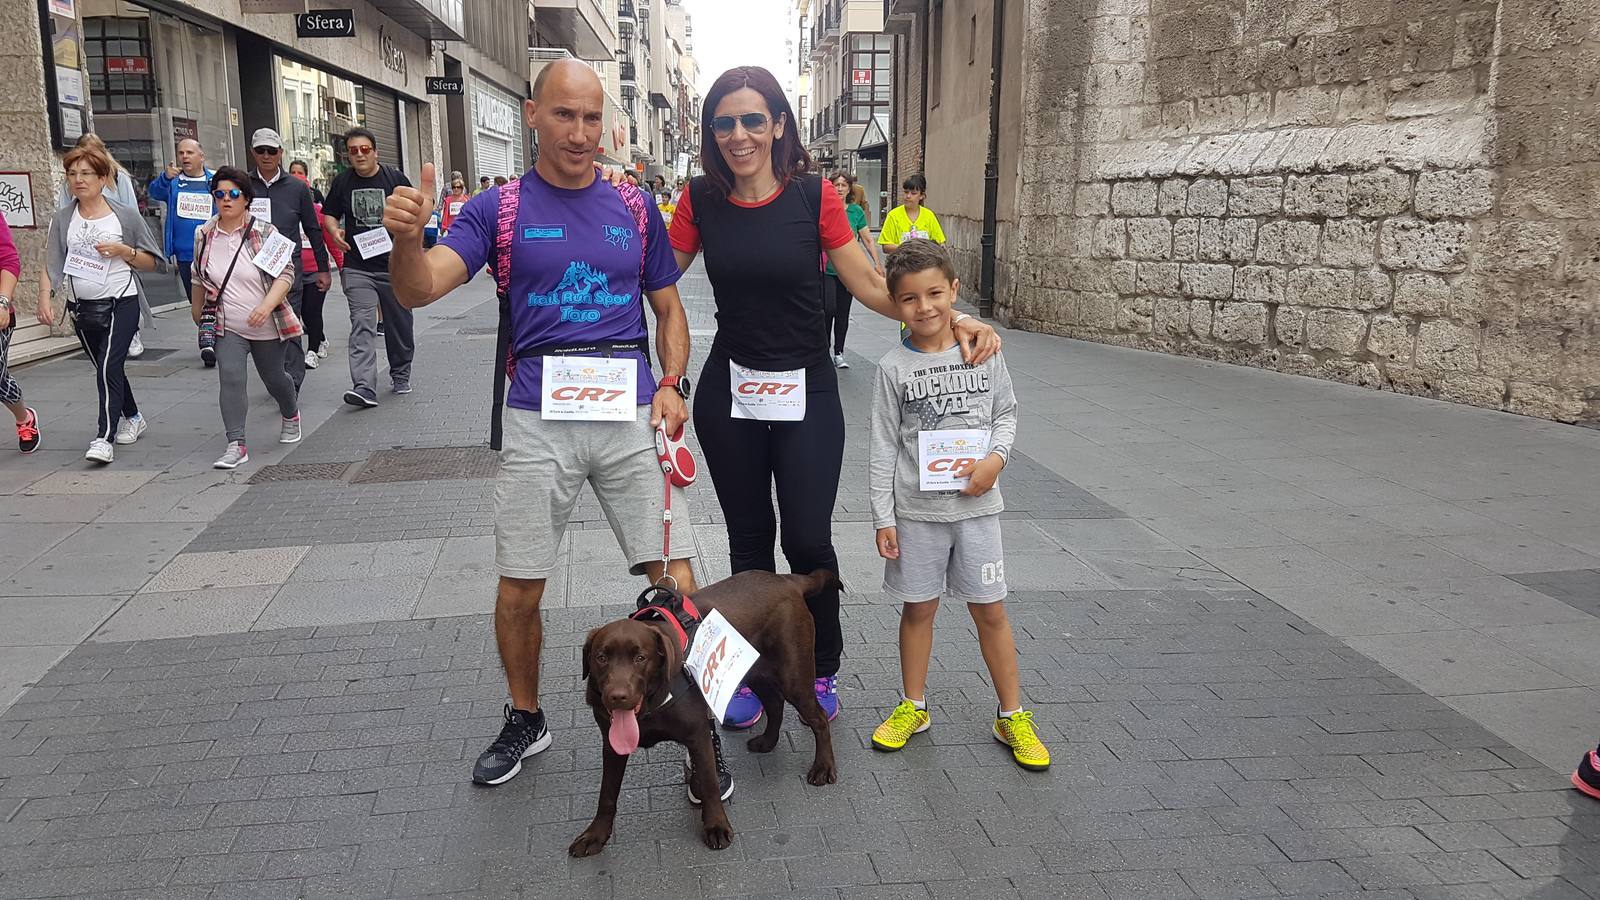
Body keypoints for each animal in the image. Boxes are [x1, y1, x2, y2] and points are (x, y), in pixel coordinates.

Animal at [569, 566, 844, 851]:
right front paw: (595, 834)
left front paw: (716, 826)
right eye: (601, 657)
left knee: (818, 718)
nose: (617, 697)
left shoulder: (698, 734)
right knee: (774, 702)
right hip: (753, 671)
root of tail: (787, 580)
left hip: (794, 676)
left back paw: (823, 767)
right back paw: (768, 741)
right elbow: (606, 794)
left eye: (640, 658)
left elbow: (710, 783)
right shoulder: (612, 744)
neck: (651, 704)